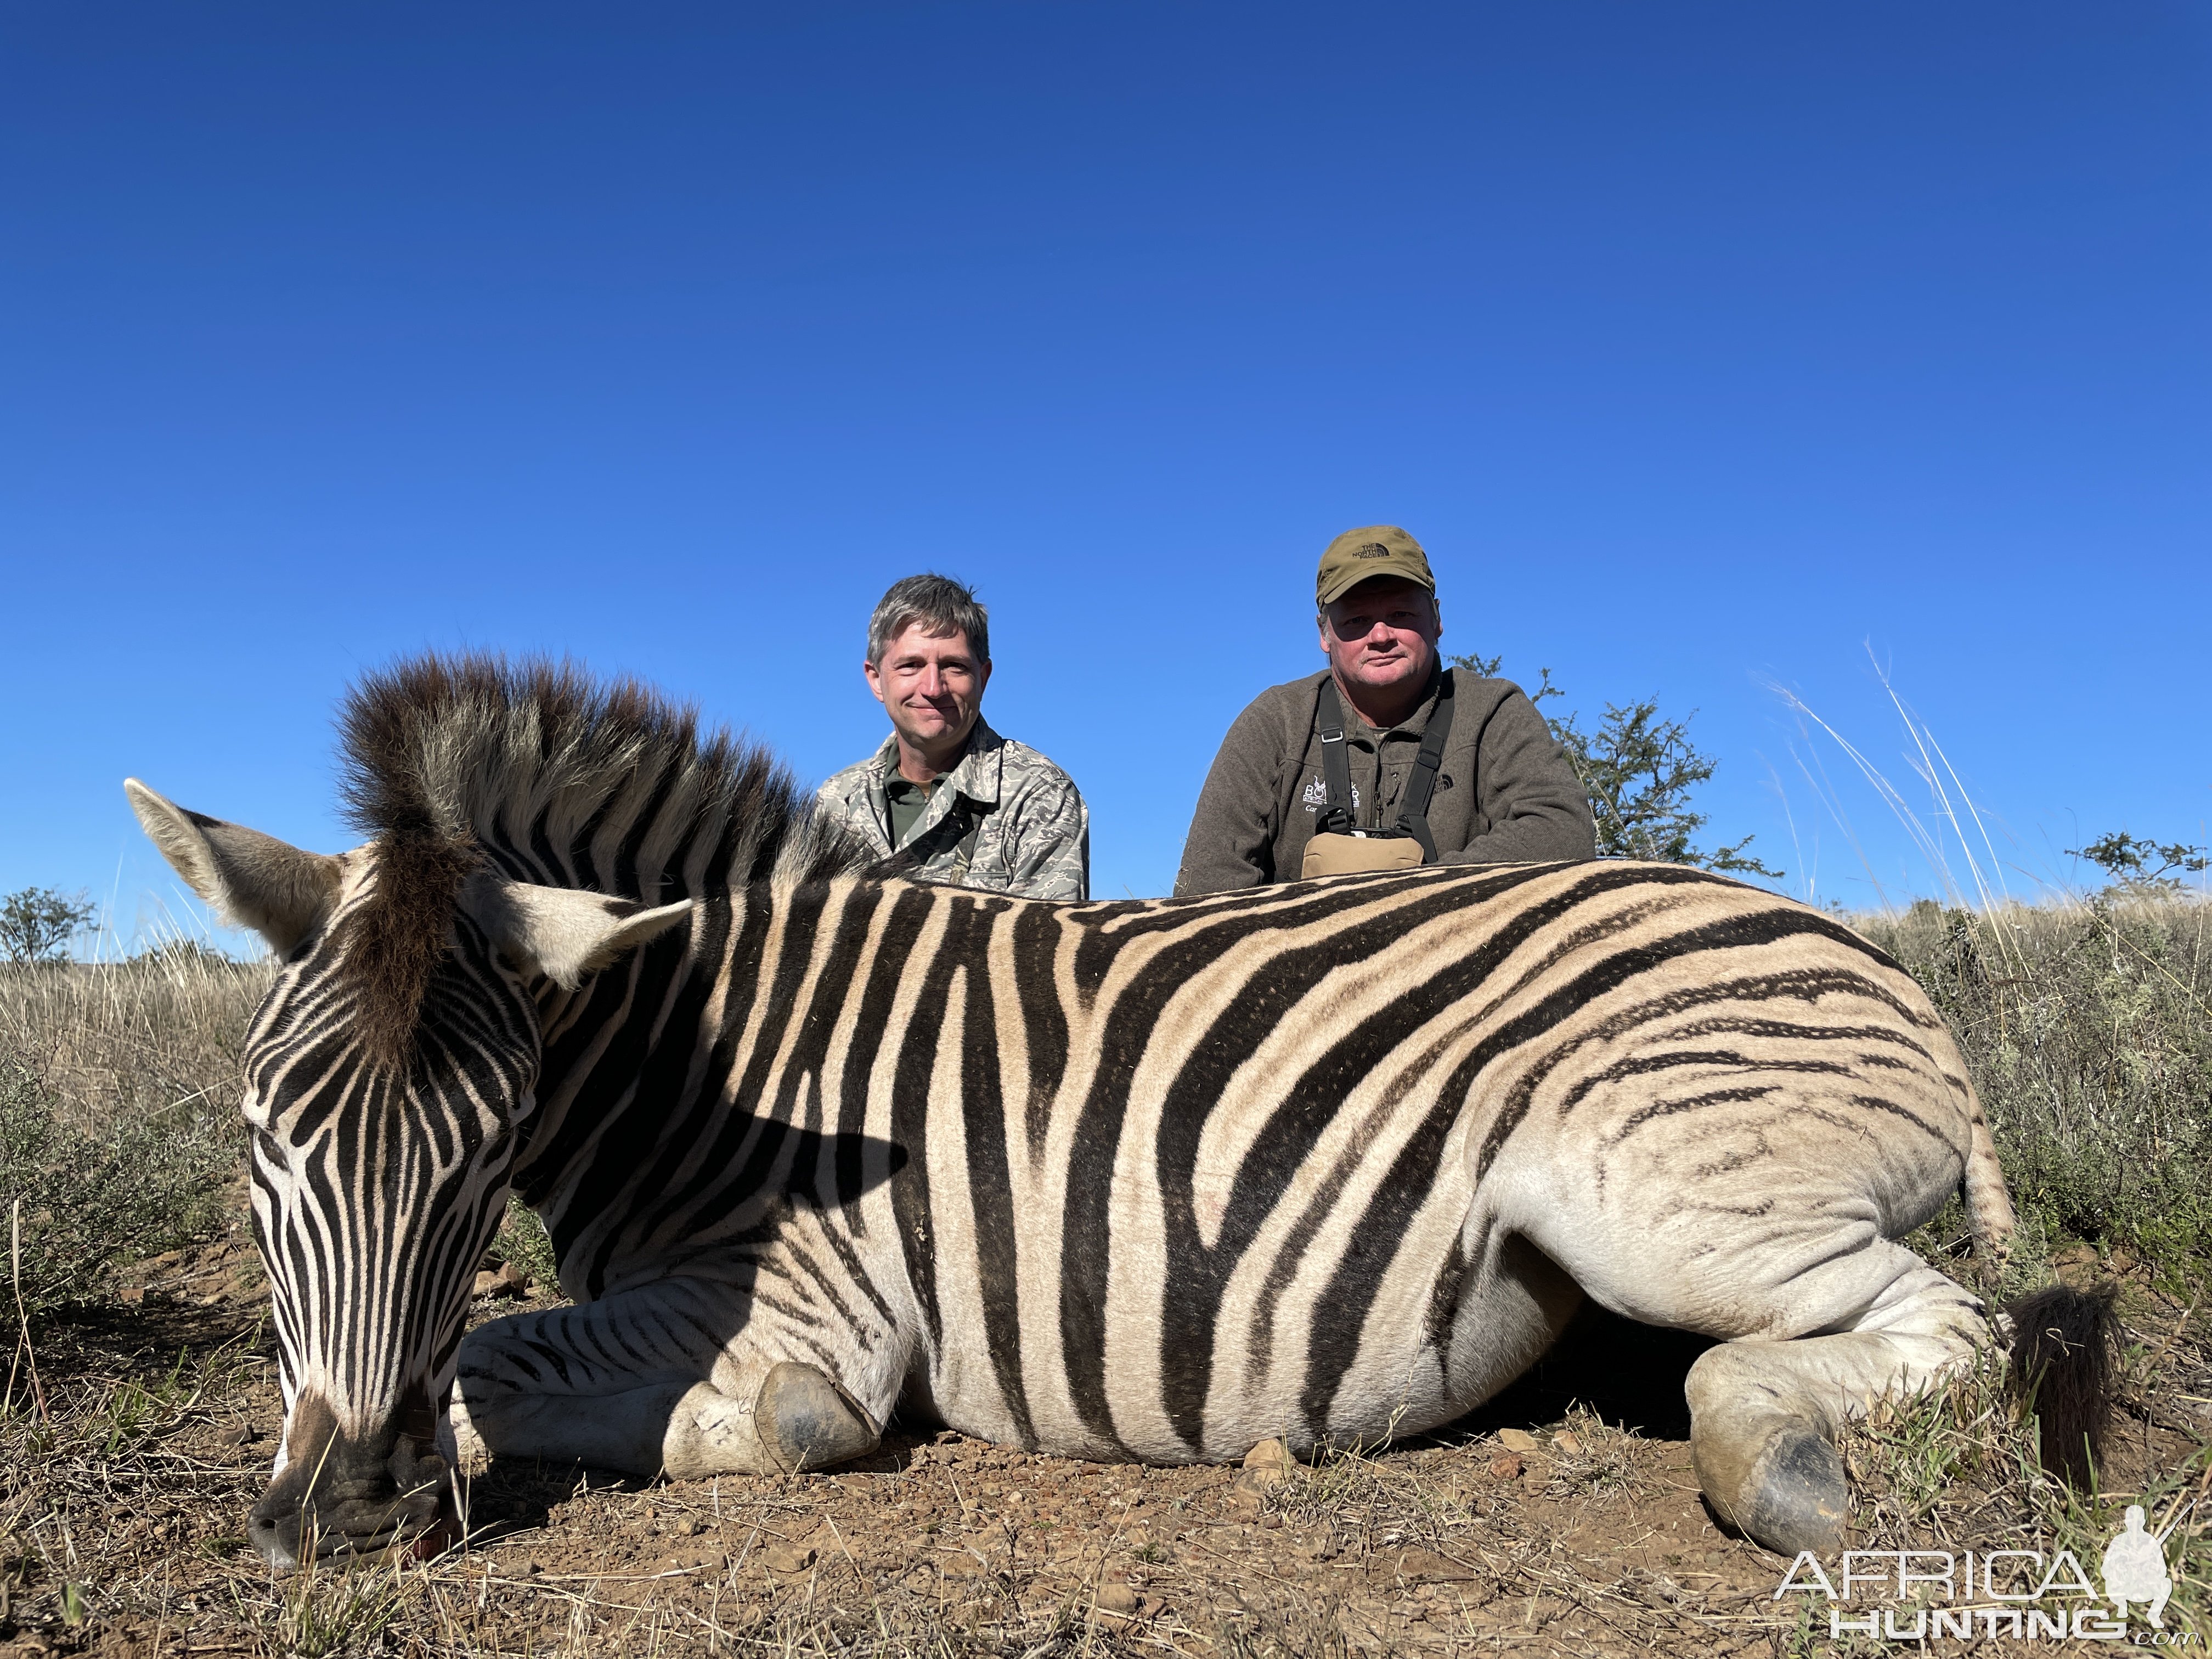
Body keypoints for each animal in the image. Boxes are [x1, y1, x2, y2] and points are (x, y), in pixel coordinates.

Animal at [129, 654, 2097, 1575]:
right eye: (259, 1144)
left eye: (477, 1162)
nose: (351, 1518)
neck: (704, 1053)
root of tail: (1884, 971)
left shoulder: (823, 1309)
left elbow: (521, 1367)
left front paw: (698, 1433)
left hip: (1654, 1199)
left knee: (1944, 1329)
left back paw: (1779, 1462)